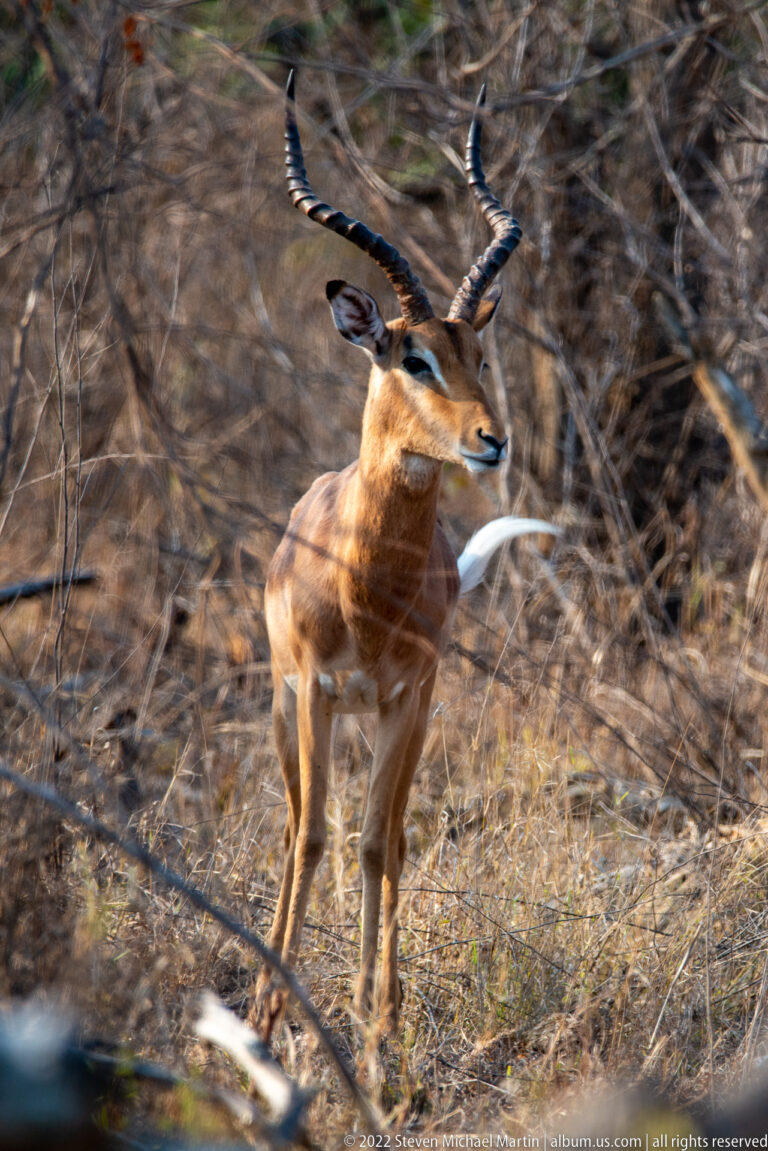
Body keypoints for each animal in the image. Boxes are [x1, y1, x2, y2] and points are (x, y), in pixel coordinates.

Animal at [257, 73, 556, 1033]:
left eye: (479, 352)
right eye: (411, 356)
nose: (492, 441)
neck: (364, 588)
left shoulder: (405, 695)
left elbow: (377, 841)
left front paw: (377, 1019)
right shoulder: (315, 689)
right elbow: (315, 835)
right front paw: (272, 1016)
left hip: (410, 715)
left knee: (388, 830)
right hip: (286, 707)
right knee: (296, 826)